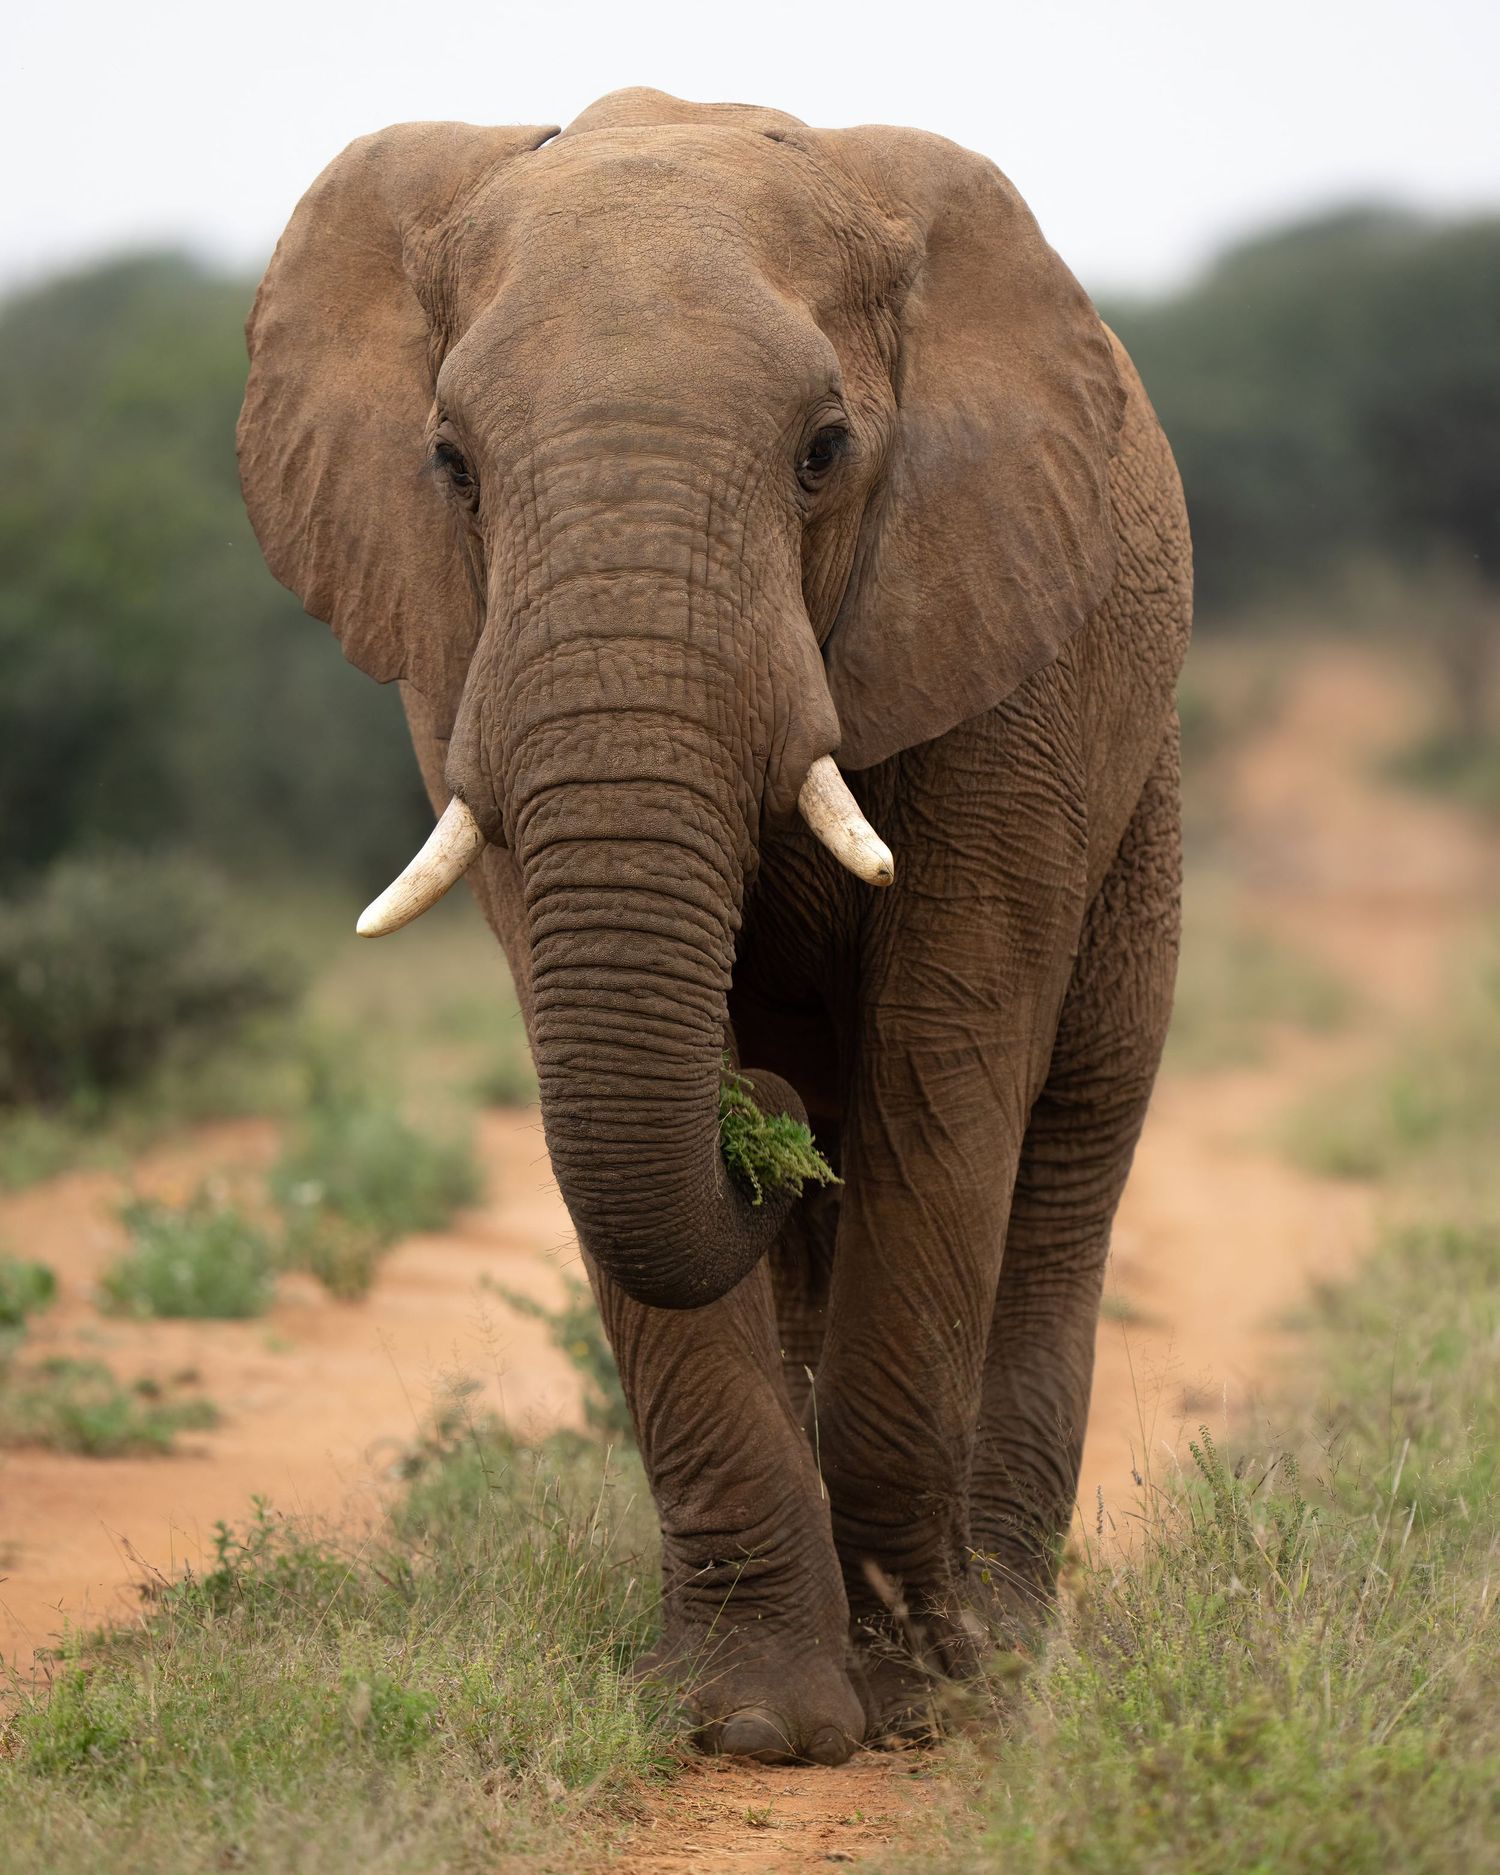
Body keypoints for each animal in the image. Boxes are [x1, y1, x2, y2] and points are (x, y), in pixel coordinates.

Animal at [238, 87, 1191, 1766]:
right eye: (450, 463)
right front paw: (750, 1718)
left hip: (1140, 781)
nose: (753, 1105)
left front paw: (926, 1693)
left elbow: (947, 1049)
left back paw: (1011, 1643)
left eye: (824, 454)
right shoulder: (459, 661)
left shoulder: (1006, 656)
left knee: (1068, 1147)